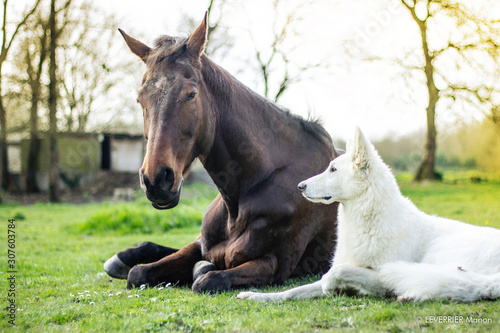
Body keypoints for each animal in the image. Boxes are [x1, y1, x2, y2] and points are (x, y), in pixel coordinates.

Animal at [103, 14, 342, 292]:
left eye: (191, 94)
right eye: (140, 99)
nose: (156, 180)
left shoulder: (273, 265)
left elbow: (205, 280)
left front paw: (202, 270)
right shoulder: (201, 246)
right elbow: (139, 273)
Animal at [237, 127, 500, 300]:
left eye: (333, 169)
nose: (299, 186)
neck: (366, 218)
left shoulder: (380, 276)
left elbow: (333, 274)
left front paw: (335, 287)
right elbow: (294, 290)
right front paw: (257, 296)